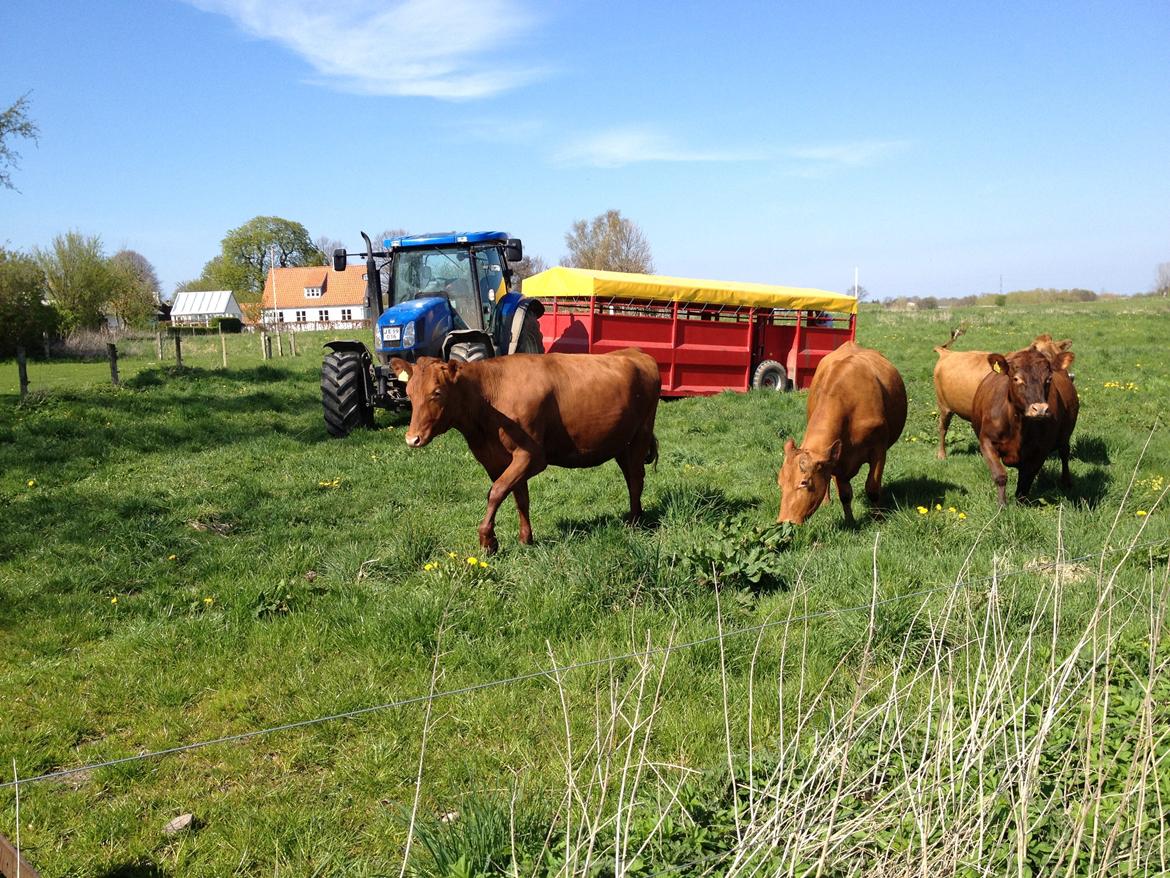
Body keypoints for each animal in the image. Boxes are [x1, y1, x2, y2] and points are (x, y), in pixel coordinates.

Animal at [390, 348, 659, 550]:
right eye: (409, 393)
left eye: (437, 393)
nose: (412, 439)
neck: (489, 398)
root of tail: (636, 353)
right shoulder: (497, 460)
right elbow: (520, 497)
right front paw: (525, 539)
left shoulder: (532, 455)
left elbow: (497, 491)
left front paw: (487, 540)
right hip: (622, 444)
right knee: (631, 477)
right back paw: (636, 515)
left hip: (640, 436)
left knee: (636, 479)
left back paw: (635, 522)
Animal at [781, 339, 907, 526]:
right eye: (780, 482)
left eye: (804, 482)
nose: (784, 521)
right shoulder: (837, 460)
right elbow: (845, 494)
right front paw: (850, 522)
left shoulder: (879, 450)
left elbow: (873, 488)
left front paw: (878, 518)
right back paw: (826, 501)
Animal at [968, 346, 1076, 505]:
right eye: (1016, 378)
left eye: (1049, 379)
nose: (1040, 409)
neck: (1018, 426)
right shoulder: (986, 442)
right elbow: (1000, 476)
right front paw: (1002, 505)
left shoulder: (1041, 451)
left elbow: (1026, 479)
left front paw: (1021, 503)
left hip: (1065, 435)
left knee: (1064, 453)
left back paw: (1067, 482)